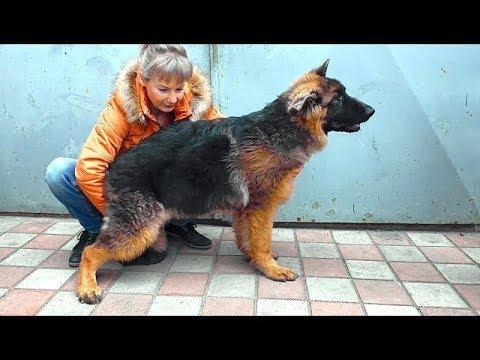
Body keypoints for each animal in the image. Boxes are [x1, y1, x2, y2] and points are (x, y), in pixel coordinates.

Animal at [76, 59, 376, 304]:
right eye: (338, 98)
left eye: (344, 93)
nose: (372, 110)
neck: (279, 129)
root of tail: (114, 168)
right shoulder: (260, 206)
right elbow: (262, 238)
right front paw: (269, 267)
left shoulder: (246, 210)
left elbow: (248, 236)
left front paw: (253, 257)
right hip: (141, 229)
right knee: (91, 252)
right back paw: (87, 286)